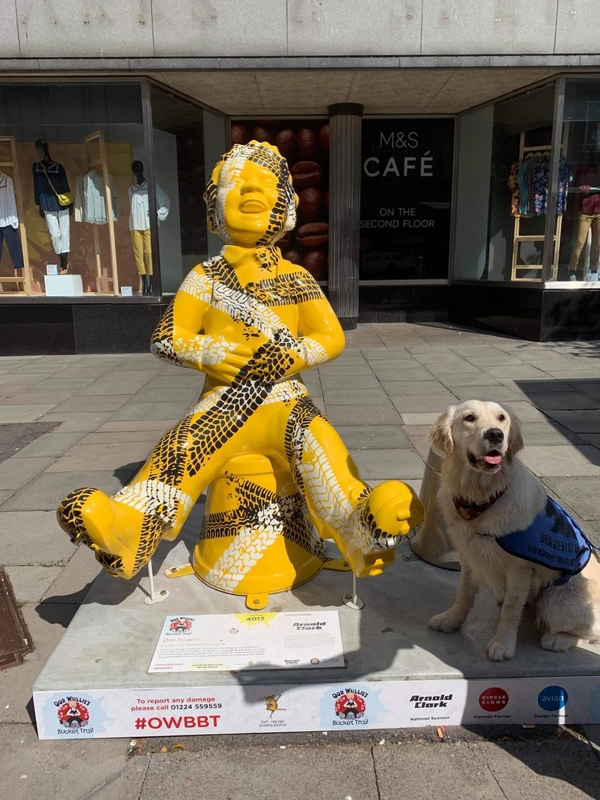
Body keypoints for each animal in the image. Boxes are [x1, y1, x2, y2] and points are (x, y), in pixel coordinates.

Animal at [426, 400, 600, 664]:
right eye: (469, 418)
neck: (483, 496)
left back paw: (557, 639)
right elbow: (464, 593)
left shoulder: (520, 569)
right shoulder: (469, 554)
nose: (495, 435)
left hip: (557, 599)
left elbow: (511, 609)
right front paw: (452, 619)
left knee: (589, 632)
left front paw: (503, 644)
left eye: (501, 418)